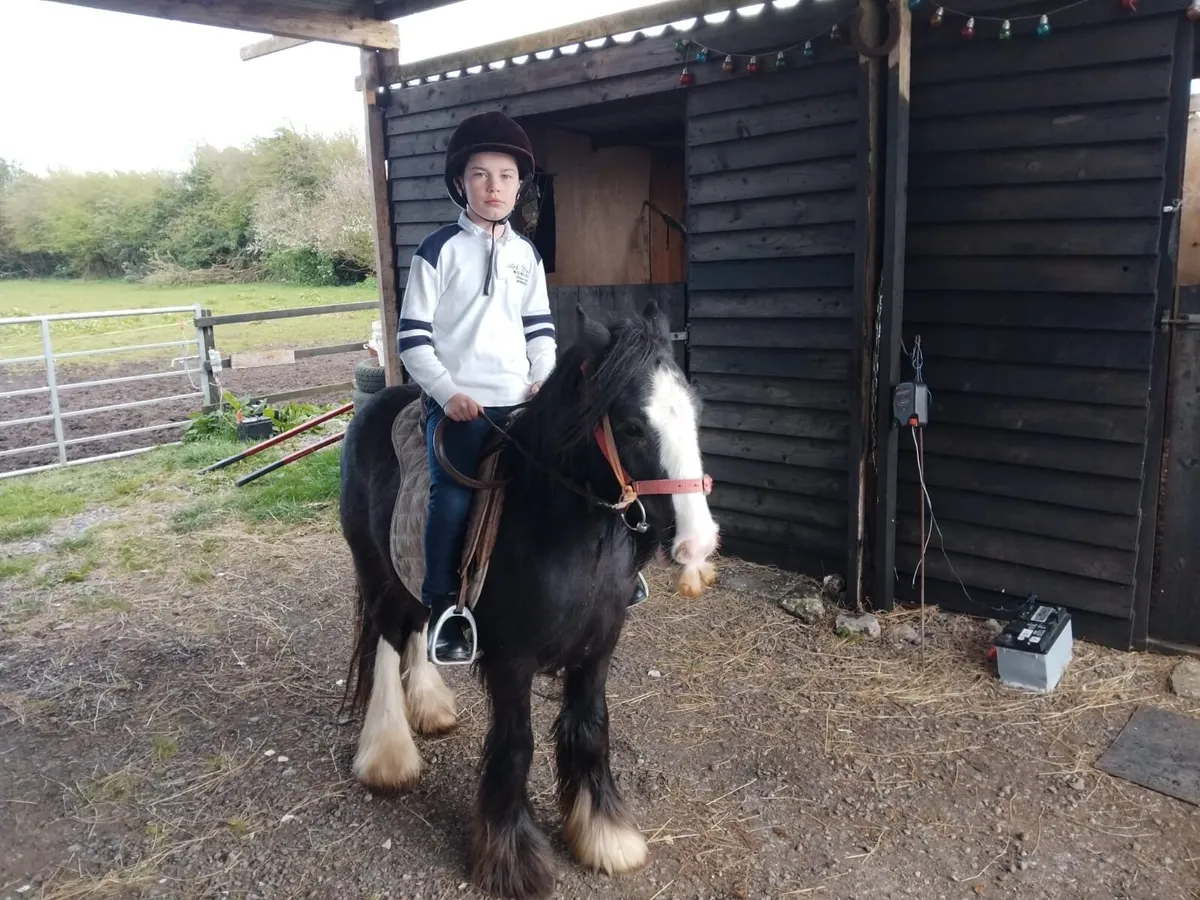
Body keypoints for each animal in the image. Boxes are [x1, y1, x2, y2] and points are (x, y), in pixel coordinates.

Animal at [337, 302, 720, 899]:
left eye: (695, 412)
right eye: (633, 425)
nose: (698, 542)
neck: (558, 528)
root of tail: (373, 407)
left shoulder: (598, 651)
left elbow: (591, 729)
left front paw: (604, 835)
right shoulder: (510, 661)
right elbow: (516, 745)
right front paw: (511, 859)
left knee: (419, 627)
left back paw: (430, 708)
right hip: (374, 570)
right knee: (384, 641)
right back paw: (388, 756)